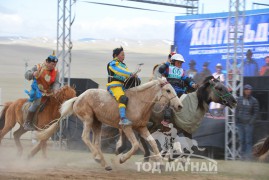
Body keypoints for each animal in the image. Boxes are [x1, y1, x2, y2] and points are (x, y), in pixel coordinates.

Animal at [35, 78, 181, 171]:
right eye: (168, 90)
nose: (179, 106)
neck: (139, 102)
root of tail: (78, 98)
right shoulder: (127, 128)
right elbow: (134, 146)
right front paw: (121, 159)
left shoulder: (142, 127)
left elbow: (152, 143)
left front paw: (161, 164)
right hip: (88, 120)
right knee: (85, 138)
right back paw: (98, 158)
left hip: (97, 123)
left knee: (96, 143)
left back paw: (105, 164)